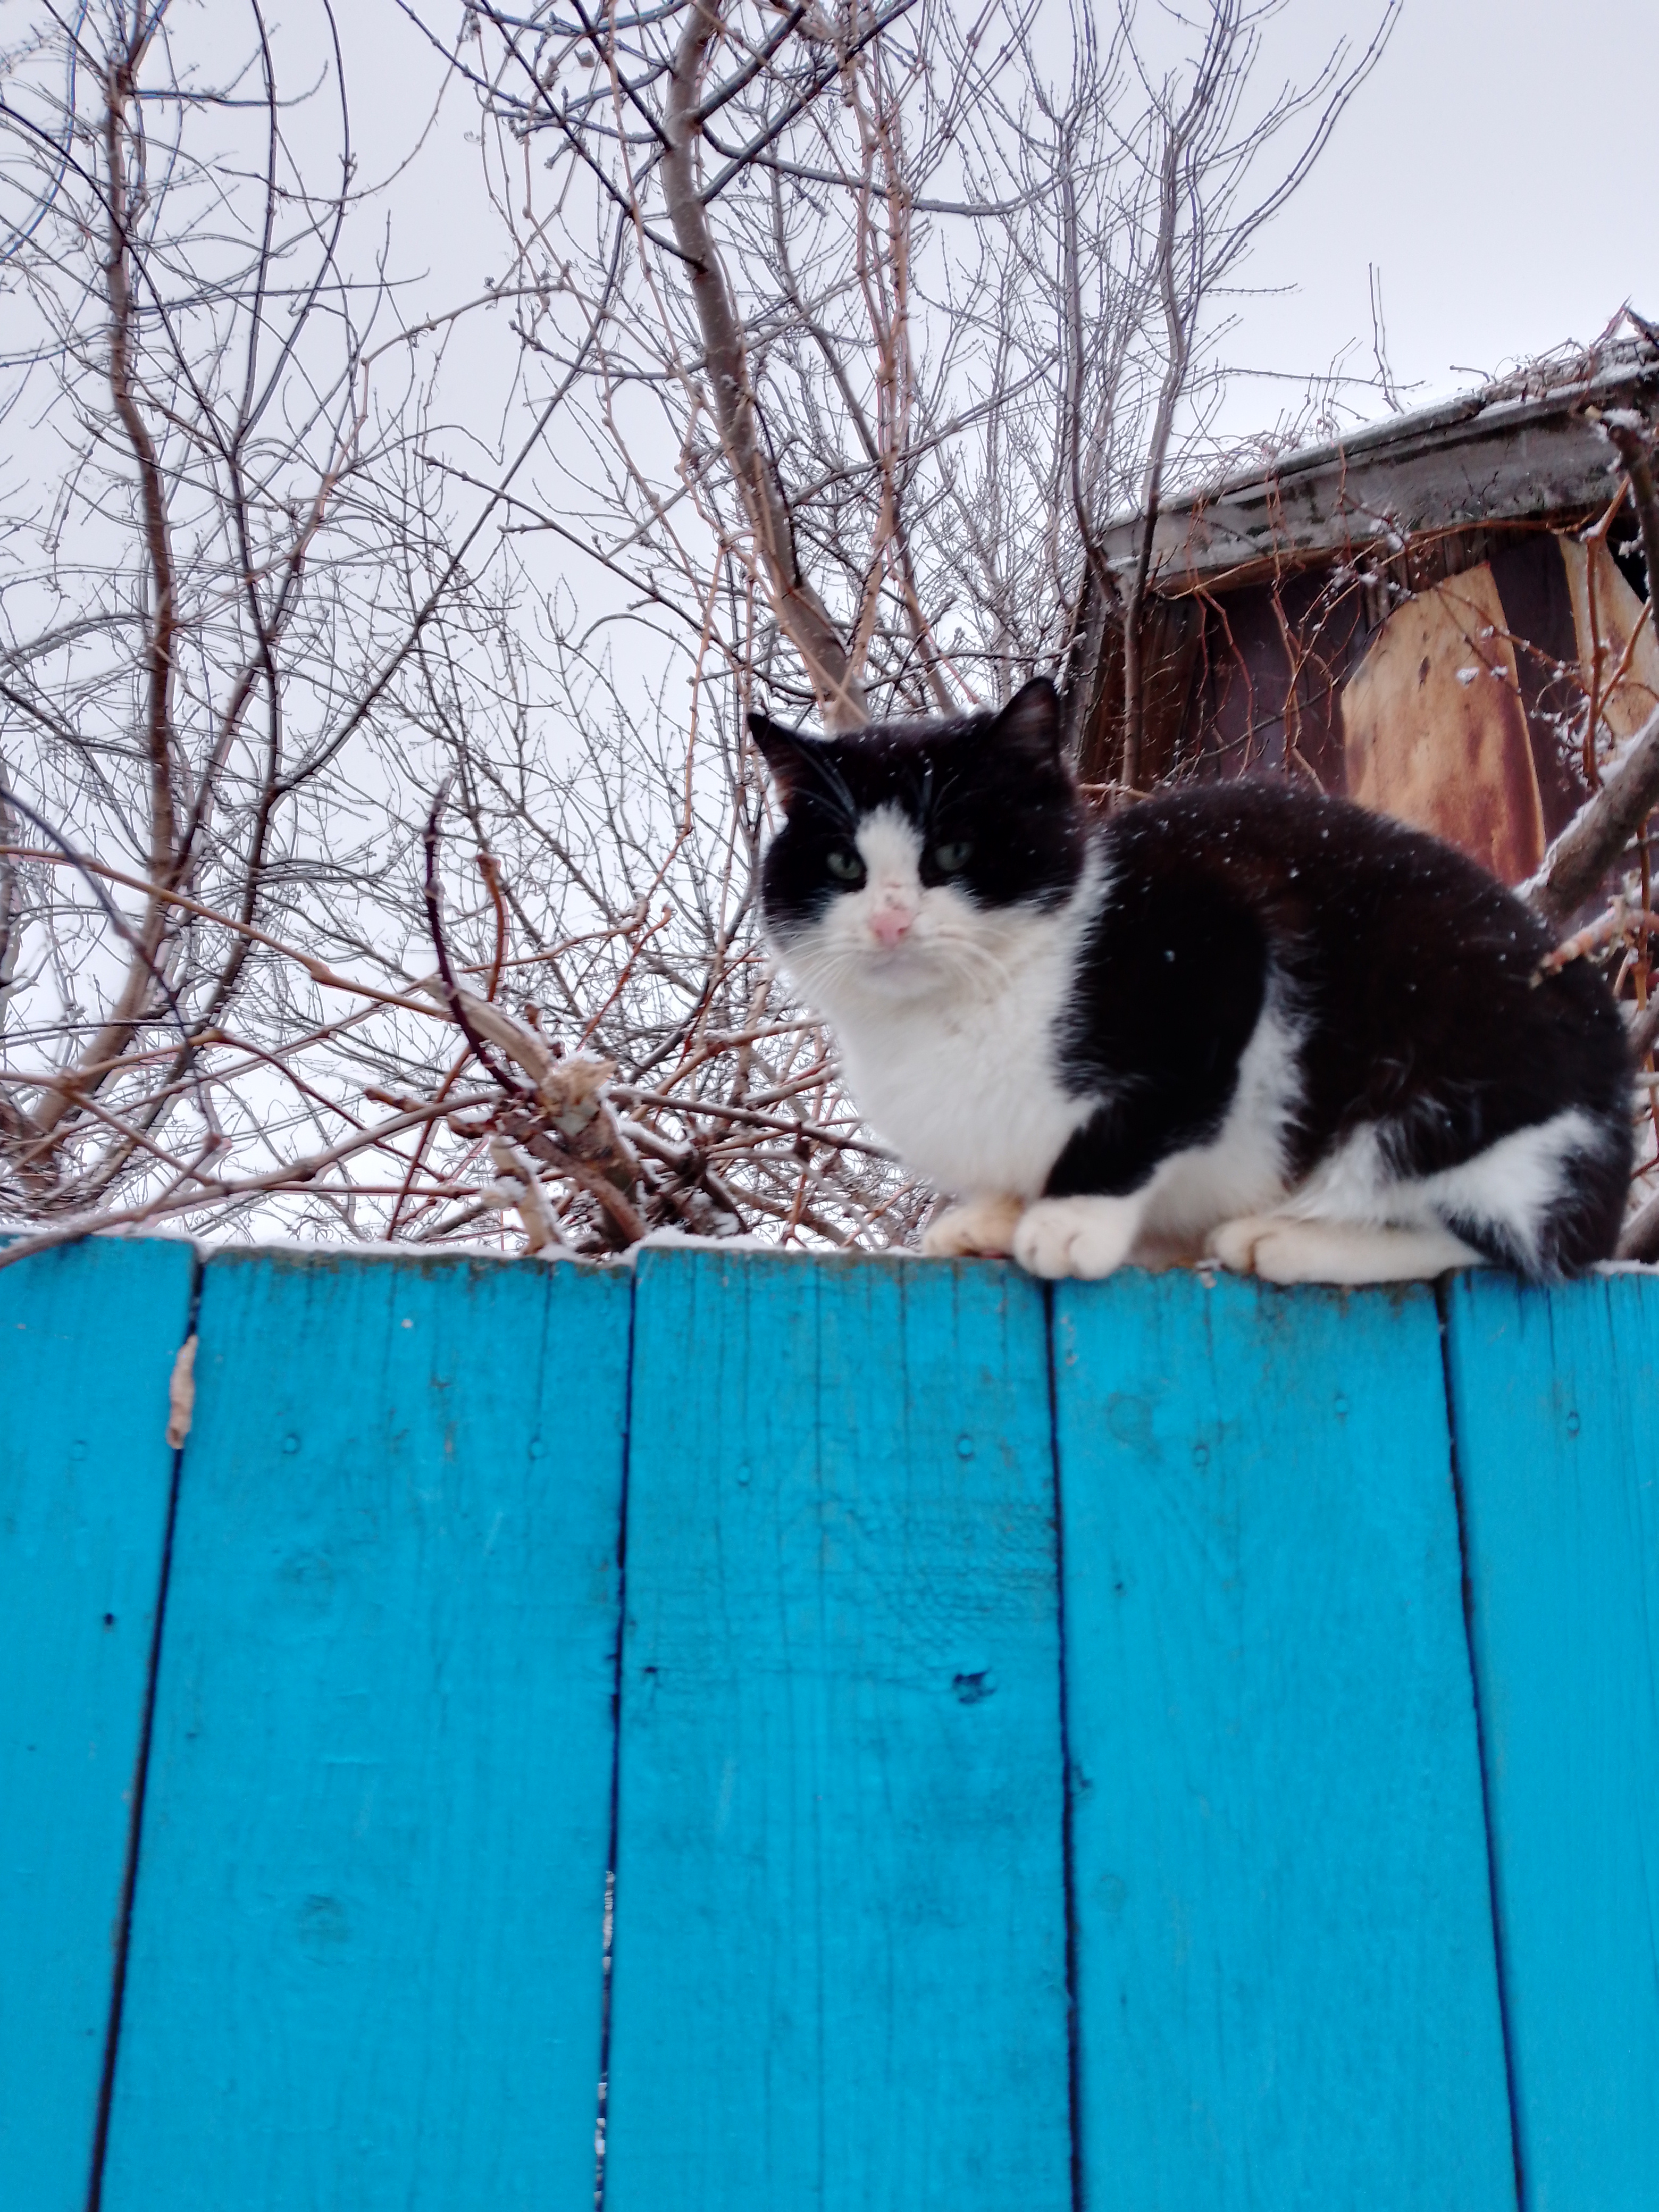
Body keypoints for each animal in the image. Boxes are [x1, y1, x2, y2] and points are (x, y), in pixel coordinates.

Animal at [750, 676, 1633, 1283]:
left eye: (955, 854)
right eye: (844, 867)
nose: (890, 923)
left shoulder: (1214, 945)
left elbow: (1145, 1116)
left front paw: (1068, 1220)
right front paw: (994, 1218)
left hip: (1454, 1092)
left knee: (1504, 1244)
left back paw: (1283, 1240)